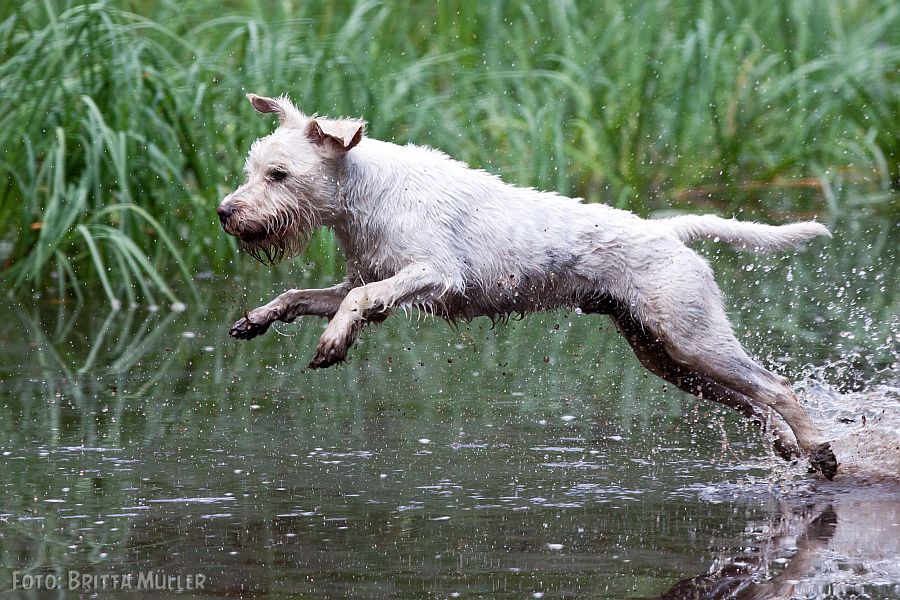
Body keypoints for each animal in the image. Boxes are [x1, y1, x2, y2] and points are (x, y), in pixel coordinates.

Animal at [216, 92, 836, 478]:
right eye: (253, 171)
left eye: (279, 175)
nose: (225, 212)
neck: (363, 195)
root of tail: (670, 231)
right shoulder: (370, 277)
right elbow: (306, 296)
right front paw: (258, 319)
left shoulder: (434, 274)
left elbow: (356, 300)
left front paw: (334, 342)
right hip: (667, 357)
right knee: (753, 401)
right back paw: (790, 446)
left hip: (694, 339)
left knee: (776, 387)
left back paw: (821, 450)